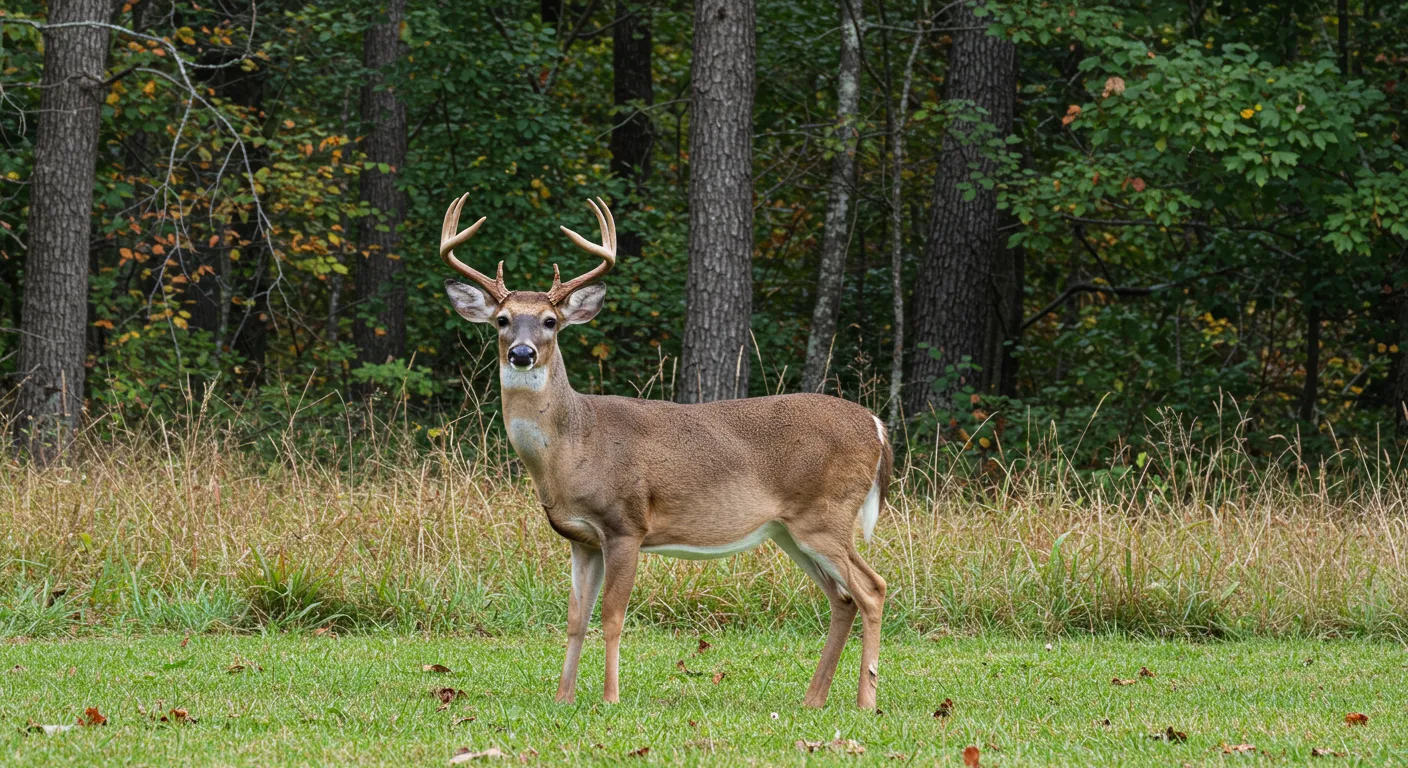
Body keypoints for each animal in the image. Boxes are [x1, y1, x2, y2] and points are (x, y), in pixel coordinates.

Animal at [436, 191, 889, 707]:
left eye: (551, 321)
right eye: (502, 320)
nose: (522, 353)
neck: (574, 447)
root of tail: (876, 426)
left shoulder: (625, 524)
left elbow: (612, 616)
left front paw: (610, 698)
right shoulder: (581, 539)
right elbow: (575, 619)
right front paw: (563, 698)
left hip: (826, 515)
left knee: (873, 589)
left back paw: (866, 702)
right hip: (789, 530)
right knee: (843, 598)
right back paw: (814, 699)